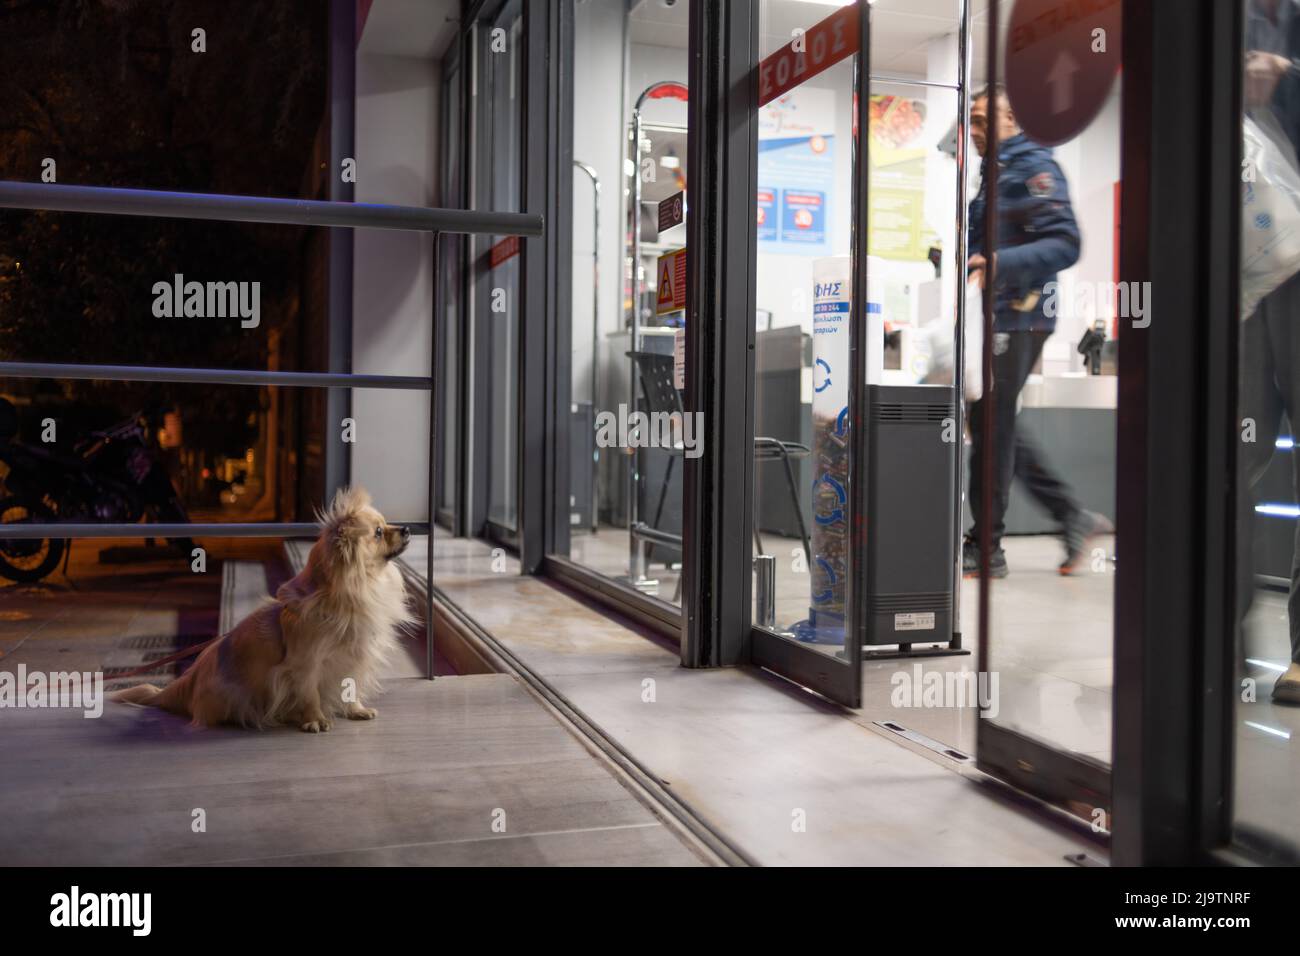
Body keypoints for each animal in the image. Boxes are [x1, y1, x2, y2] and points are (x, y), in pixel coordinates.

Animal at [116, 489, 413, 728]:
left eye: (386, 525)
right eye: (378, 532)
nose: (407, 529)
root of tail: (187, 683)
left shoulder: (352, 658)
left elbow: (350, 687)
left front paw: (356, 710)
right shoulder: (306, 665)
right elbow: (310, 694)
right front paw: (314, 720)